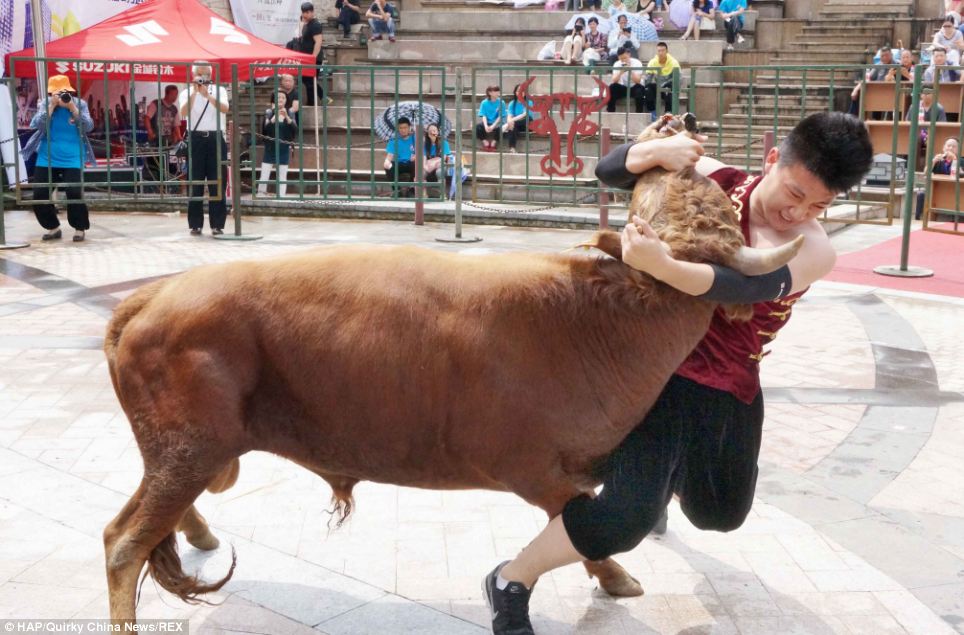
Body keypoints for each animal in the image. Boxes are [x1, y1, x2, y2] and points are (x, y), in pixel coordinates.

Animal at [101, 113, 804, 620]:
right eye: (675, 181)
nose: (673, 124)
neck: (606, 316)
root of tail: (154, 296)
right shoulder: (534, 470)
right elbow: (585, 524)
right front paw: (616, 578)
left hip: (195, 453)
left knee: (159, 516)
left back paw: (200, 536)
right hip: (190, 448)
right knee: (123, 542)